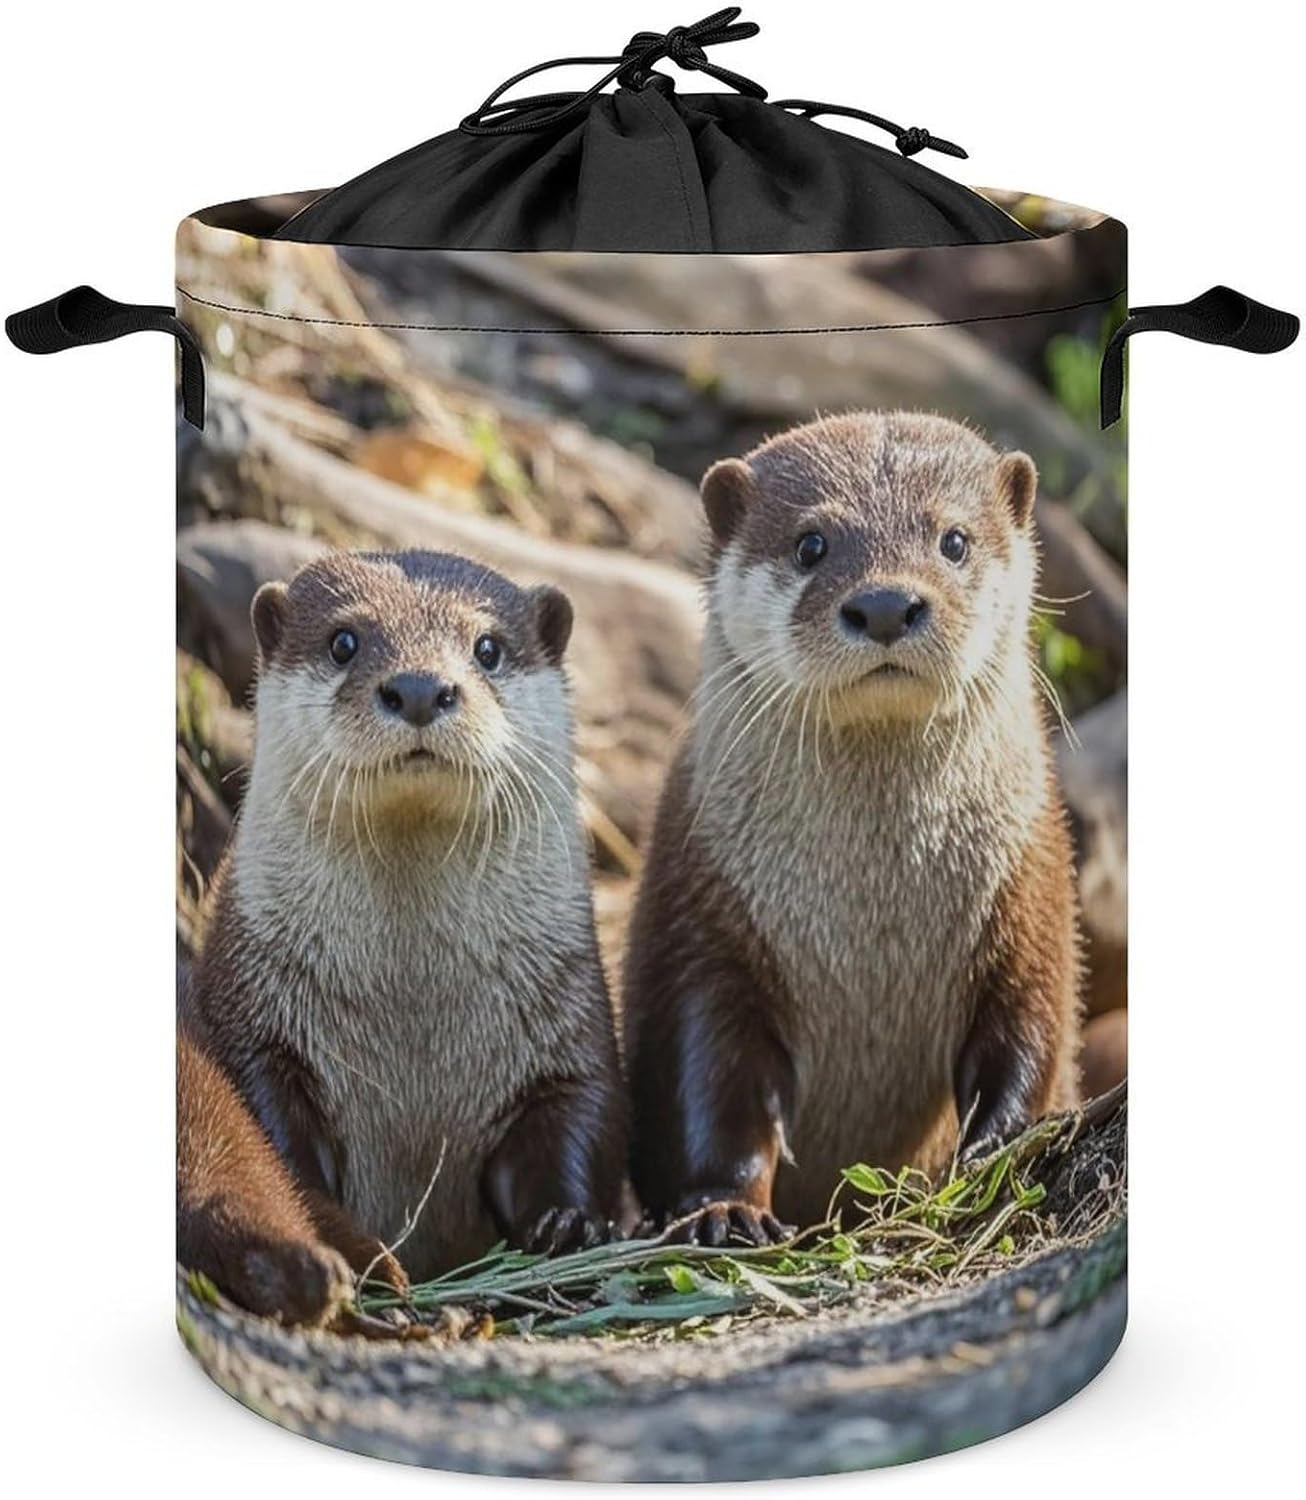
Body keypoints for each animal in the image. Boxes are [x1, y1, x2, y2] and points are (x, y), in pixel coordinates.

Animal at [183, 549, 626, 1297]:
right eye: (343, 641)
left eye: (488, 648)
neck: (414, 1010)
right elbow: (276, 1139)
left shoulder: (566, 1018)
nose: (420, 687)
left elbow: (577, 1109)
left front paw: (570, 1225)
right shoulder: (254, 1020)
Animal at [623, 412, 1081, 1244]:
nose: (888, 605)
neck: (873, 916)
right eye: (812, 544)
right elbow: (710, 1081)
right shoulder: (706, 909)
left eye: (954, 539)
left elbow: (1031, 1028)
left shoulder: (1030, 886)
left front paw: (1000, 1151)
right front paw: (726, 1208)